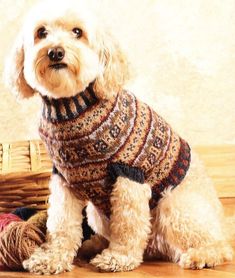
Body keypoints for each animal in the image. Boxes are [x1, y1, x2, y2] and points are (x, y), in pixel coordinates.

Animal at [4, 0, 235, 274]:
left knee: (220, 246)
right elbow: (60, 224)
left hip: (173, 206)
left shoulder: (129, 175)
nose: (56, 52)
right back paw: (92, 245)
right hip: (97, 213)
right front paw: (51, 258)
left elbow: (127, 224)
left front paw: (119, 257)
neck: (72, 106)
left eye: (77, 32)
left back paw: (202, 255)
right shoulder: (63, 180)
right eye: (41, 32)